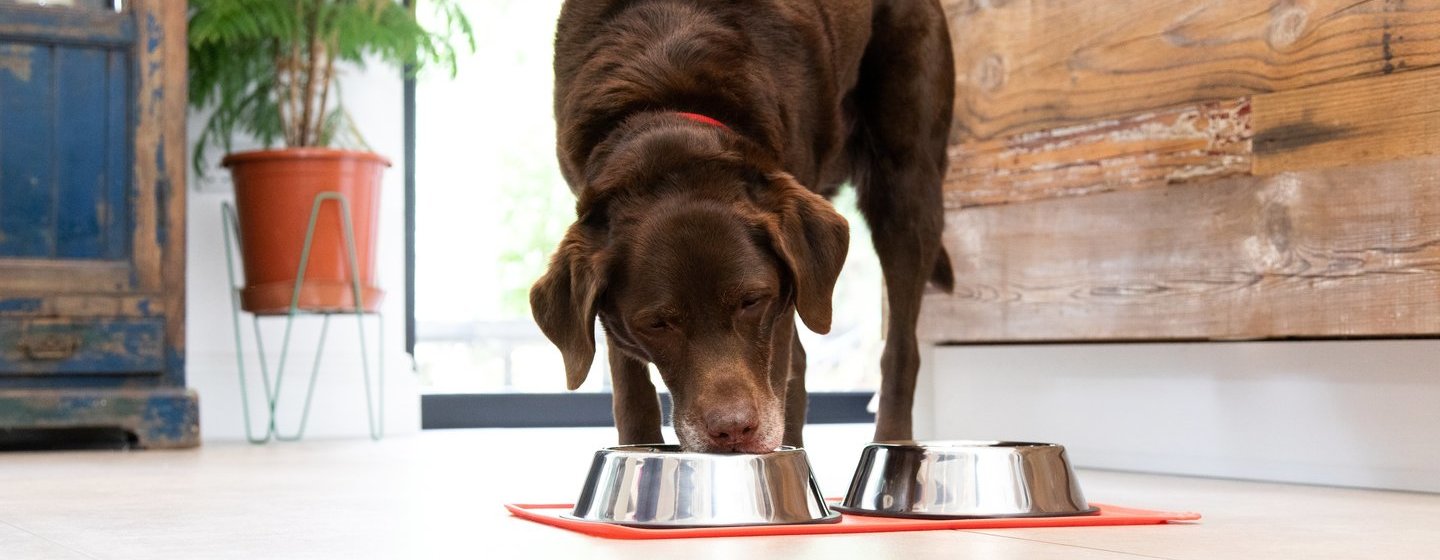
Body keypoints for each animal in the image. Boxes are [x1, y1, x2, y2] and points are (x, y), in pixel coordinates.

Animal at [535, 0, 950, 452]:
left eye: (752, 301)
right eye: (657, 324)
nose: (732, 430)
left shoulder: (782, 306)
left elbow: (780, 377)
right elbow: (630, 391)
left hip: (905, 185)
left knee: (901, 351)